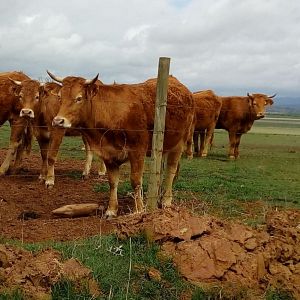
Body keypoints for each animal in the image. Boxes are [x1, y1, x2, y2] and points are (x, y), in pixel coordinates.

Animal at [47, 72, 193, 218]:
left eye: (79, 98)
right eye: (60, 97)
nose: (58, 121)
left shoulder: (137, 151)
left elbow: (135, 181)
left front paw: (139, 209)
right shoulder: (108, 153)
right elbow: (112, 182)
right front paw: (111, 210)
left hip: (179, 144)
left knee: (171, 171)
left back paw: (166, 201)